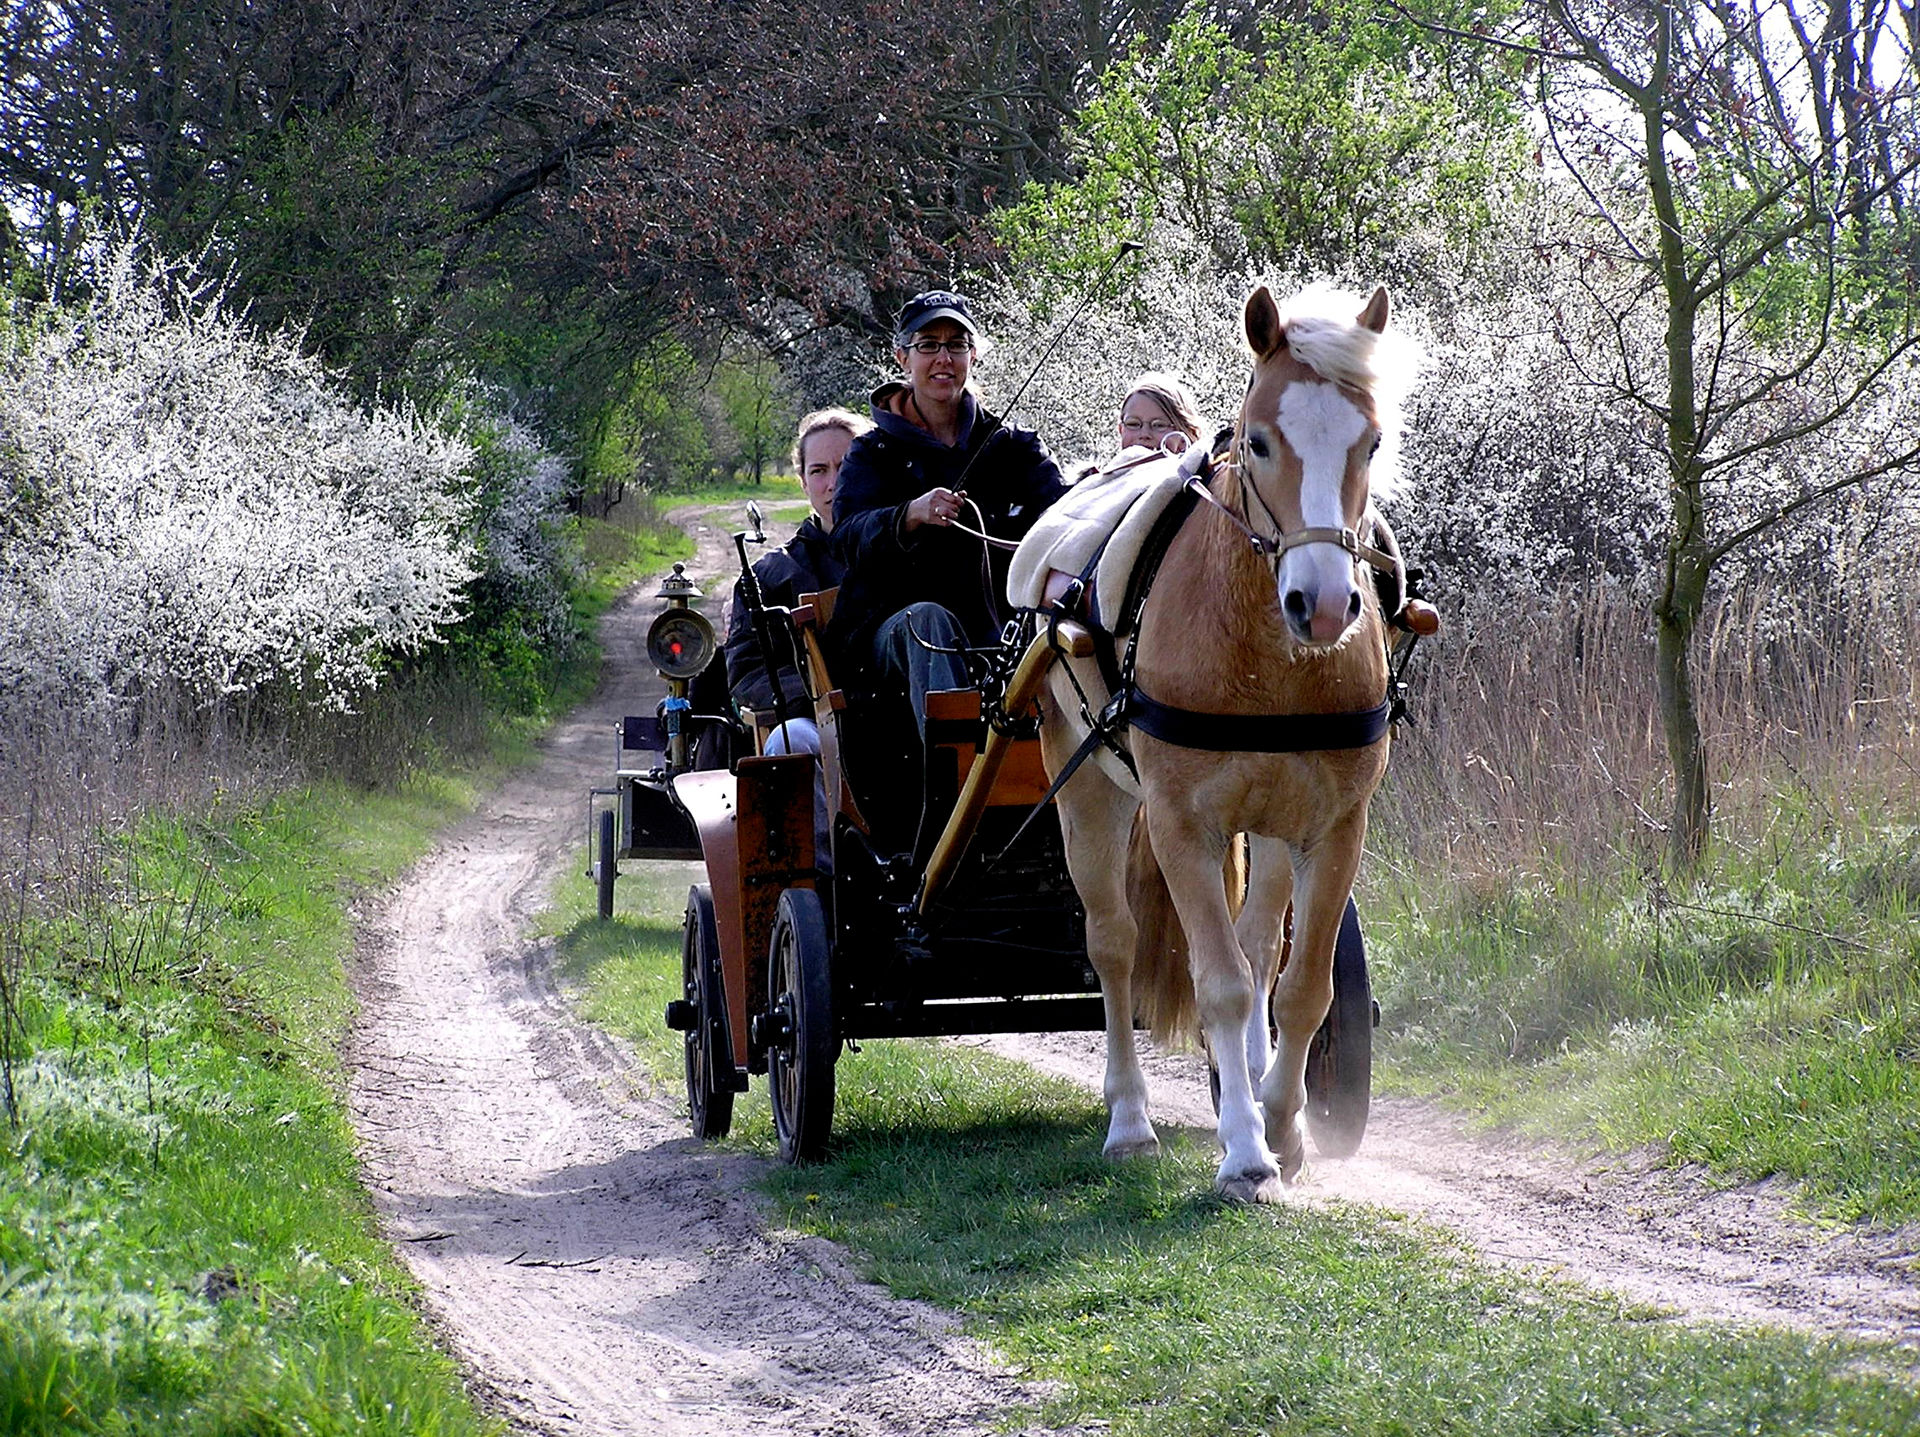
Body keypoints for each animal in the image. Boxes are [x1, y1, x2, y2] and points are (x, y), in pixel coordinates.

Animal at [1044, 284, 1420, 1198]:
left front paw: (1281, 1122)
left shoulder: (1335, 825)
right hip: (1088, 791)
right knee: (1114, 944)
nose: (1324, 604)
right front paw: (1246, 1153)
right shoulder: (1183, 824)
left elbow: (1300, 988)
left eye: (1372, 441)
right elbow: (1219, 987)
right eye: (1257, 439)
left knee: (1257, 951)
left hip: (1274, 822)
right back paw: (1130, 1120)